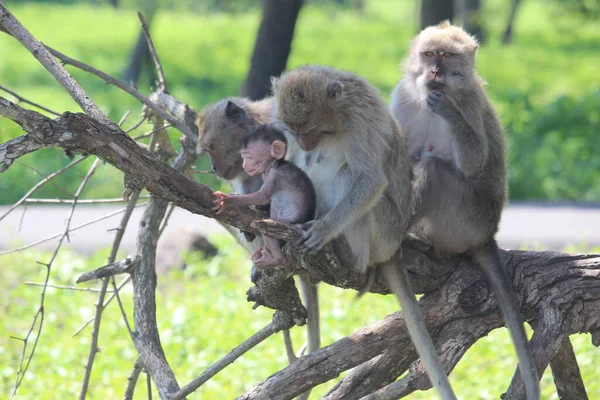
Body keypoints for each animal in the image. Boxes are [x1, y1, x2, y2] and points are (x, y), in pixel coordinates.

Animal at [212, 125, 316, 268]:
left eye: (248, 156)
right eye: (243, 156)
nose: (244, 165)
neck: (275, 164)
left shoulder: (274, 176)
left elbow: (263, 196)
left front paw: (228, 200)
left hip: (287, 223)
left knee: (266, 228)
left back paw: (277, 259)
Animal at [272, 66, 464, 400]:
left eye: (315, 128)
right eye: (295, 130)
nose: (305, 144)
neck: (338, 118)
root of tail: (395, 247)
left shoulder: (360, 120)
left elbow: (371, 180)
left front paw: (323, 229)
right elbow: (291, 166)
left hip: (385, 232)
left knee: (351, 175)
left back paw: (352, 257)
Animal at [392, 22, 540, 400]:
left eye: (445, 56)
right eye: (429, 54)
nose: (433, 72)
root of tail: (488, 234)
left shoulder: (470, 101)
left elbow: (473, 163)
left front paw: (448, 111)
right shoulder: (402, 97)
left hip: (466, 222)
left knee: (433, 171)